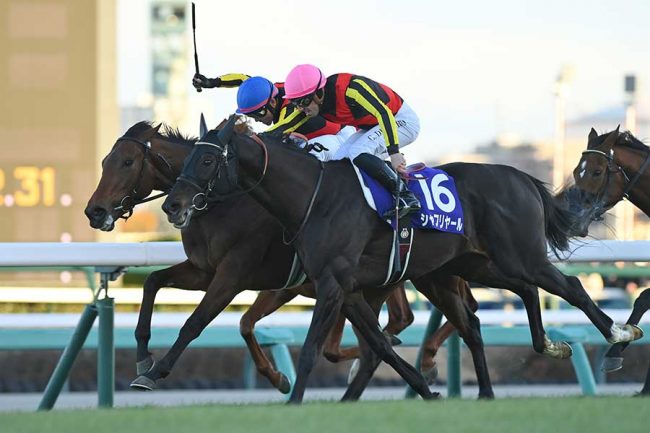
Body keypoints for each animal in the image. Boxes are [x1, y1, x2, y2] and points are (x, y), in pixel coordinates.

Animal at [84, 120, 414, 393]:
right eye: (104, 161)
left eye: (127, 162)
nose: (94, 211)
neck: (222, 203)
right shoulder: (204, 271)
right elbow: (153, 281)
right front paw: (143, 357)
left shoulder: (235, 275)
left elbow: (196, 322)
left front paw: (154, 373)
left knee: (392, 323)